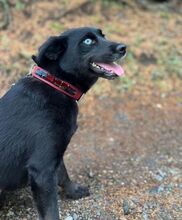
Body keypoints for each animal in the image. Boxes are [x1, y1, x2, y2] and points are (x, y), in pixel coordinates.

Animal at [0, 26, 126, 219]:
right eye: (88, 41)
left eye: (103, 35)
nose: (123, 48)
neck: (56, 84)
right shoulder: (42, 169)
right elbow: (52, 210)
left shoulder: (55, 152)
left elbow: (63, 174)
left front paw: (73, 192)